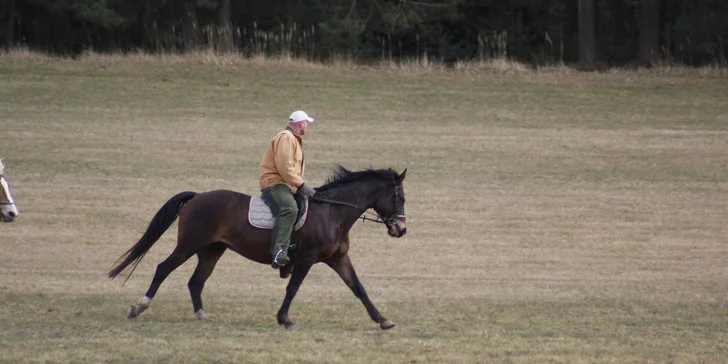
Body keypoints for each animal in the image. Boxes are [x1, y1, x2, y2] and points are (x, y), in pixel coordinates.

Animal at [109, 167, 406, 330]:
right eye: (400, 197)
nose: (401, 229)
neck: (332, 212)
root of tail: (198, 196)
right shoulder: (306, 259)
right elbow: (293, 288)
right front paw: (284, 319)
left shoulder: (338, 258)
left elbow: (358, 288)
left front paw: (382, 319)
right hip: (189, 245)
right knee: (163, 269)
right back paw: (139, 307)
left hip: (212, 250)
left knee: (196, 282)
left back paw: (201, 316)